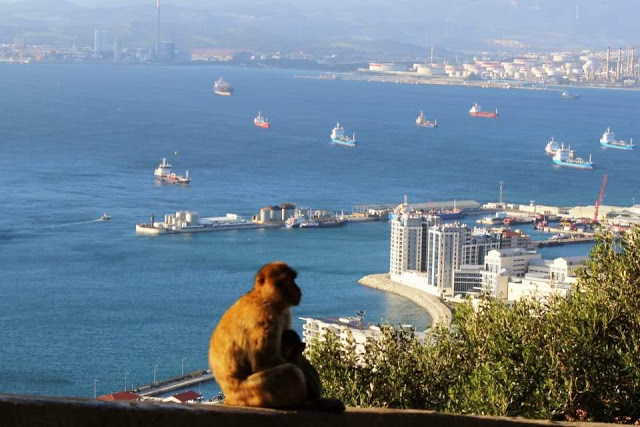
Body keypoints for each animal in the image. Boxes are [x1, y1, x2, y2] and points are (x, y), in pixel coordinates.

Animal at [209, 262, 344, 412]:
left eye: (293, 279)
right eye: (284, 281)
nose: (297, 288)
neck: (263, 297)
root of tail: (229, 398)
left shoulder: (284, 312)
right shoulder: (265, 318)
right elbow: (264, 363)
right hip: (250, 393)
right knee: (291, 372)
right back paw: (304, 403)